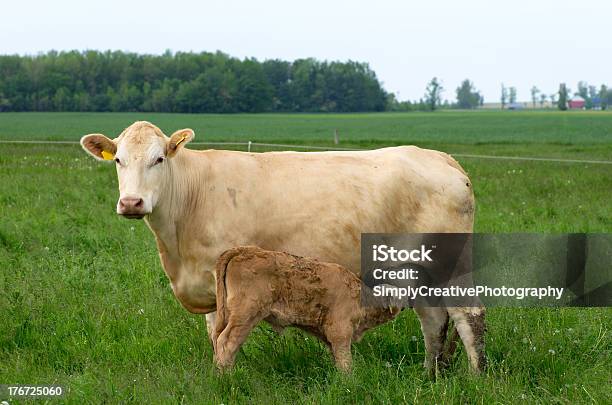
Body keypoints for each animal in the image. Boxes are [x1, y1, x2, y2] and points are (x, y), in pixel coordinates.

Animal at [213, 245, 404, 370]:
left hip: (227, 314)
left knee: (216, 339)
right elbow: (345, 361)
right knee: (227, 342)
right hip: (245, 315)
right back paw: (227, 377)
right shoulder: (340, 331)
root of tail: (246, 249)